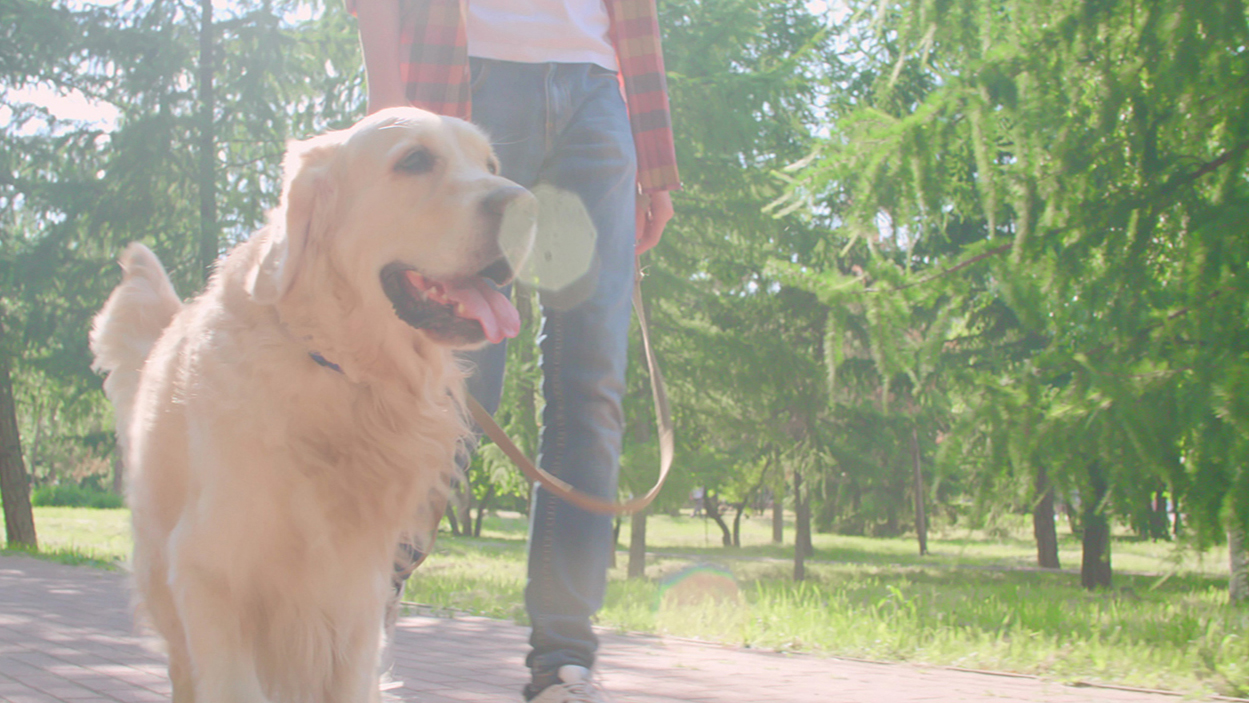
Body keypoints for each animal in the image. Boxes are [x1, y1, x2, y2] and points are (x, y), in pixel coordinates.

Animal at [88, 108, 537, 703]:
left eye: (490, 166)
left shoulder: (356, 598)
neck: (340, 371)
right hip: (164, 579)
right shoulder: (210, 575)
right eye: (415, 160)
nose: (528, 208)